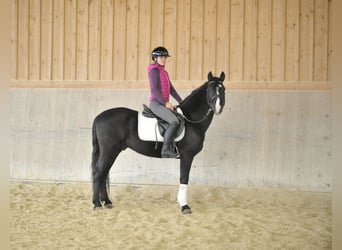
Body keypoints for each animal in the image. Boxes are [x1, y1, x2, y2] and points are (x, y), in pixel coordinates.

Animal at [91, 71, 224, 214]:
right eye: (210, 89)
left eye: (223, 89)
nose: (218, 108)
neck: (191, 121)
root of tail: (99, 117)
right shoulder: (187, 156)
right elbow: (184, 179)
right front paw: (184, 206)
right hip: (109, 150)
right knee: (98, 172)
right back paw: (97, 203)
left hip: (113, 151)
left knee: (104, 173)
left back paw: (107, 202)